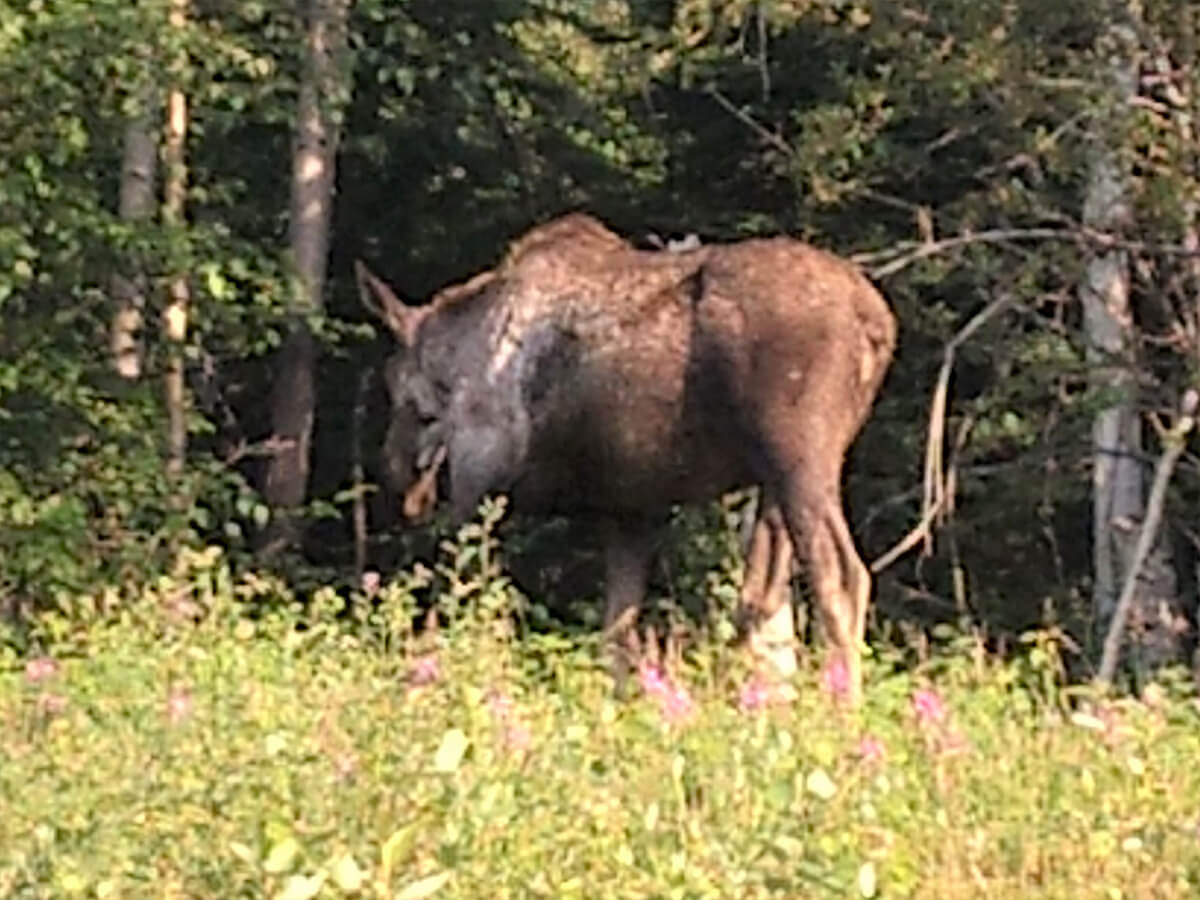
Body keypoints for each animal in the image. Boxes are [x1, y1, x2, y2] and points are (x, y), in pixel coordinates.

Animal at [360, 213, 897, 705]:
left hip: (800, 458)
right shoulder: (632, 509)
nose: (393, 474)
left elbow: (458, 604)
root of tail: (877, 324)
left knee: (841, 577)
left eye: (393, 384)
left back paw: (843, 714)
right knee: (763, 600)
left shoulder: (480, 478)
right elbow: (617, 636)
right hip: (775, 481)